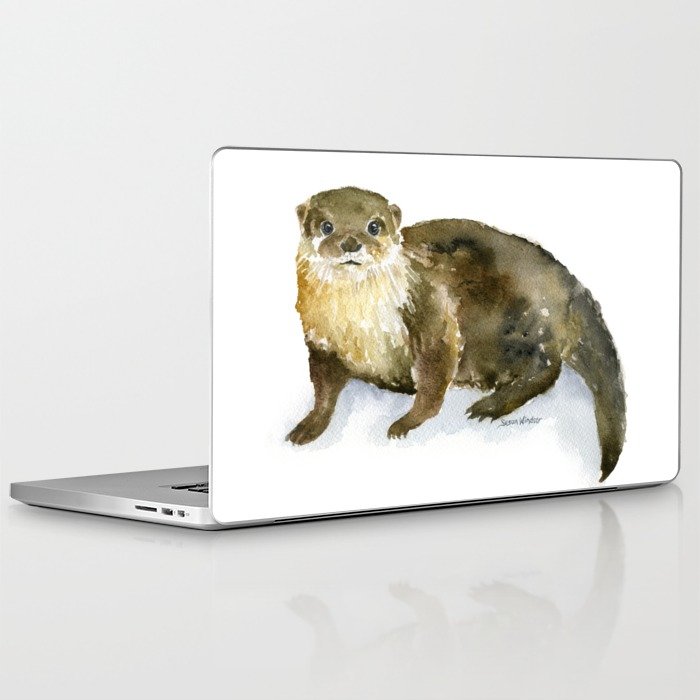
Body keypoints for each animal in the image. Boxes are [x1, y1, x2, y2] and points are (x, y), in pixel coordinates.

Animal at [287, 186, 626, 482]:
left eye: (374, 226)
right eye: (326, 226)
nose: (350, 243)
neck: (360, 325)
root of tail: (566, 284)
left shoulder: (429, 309)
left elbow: (433, 375)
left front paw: (408, 421)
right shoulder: (320, 338)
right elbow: (323, 387)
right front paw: (308, 424)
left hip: (516, 324)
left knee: (547, 367)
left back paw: (490, 404)